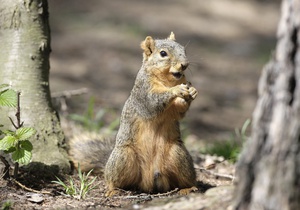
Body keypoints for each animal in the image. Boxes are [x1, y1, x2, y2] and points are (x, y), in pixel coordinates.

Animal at [69, 31, 198, 197]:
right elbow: (153, 102)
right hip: (123, 157)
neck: (167, 80)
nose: (184, 64)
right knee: (112, 179)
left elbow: (178, 113)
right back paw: (113, 189)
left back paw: (188, 187)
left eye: (184, 49)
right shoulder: (143, 94)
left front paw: (191, 92)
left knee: (184, 177)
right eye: (163, 53)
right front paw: (176, 90)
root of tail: (149, 181)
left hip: (178, 155)